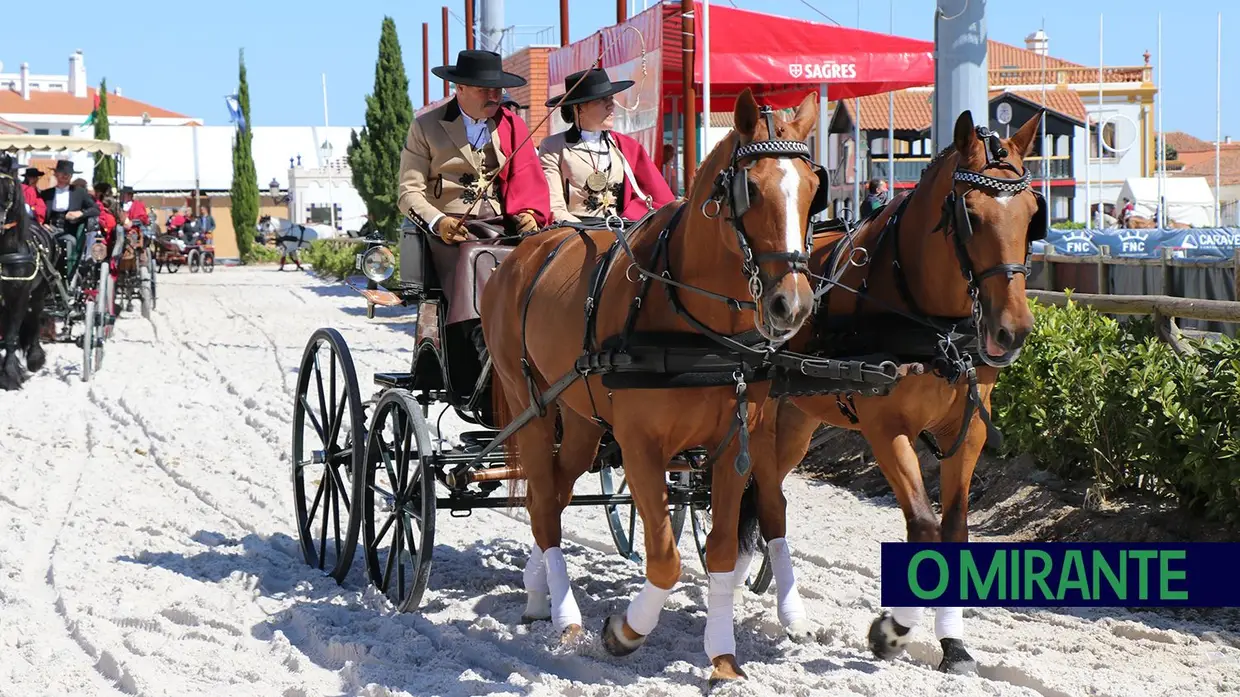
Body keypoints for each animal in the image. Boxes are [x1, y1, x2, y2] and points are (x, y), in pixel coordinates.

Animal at [481, 89, 823, 679]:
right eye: (751, 189)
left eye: (811, 188)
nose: (792, 305)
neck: (693, 324)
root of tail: (522, 253)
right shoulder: (641, 447)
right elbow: (664, 559)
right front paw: (624, 632)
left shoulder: (734, 444)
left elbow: (723, 552)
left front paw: (723, 658)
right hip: (531, 403)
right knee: (544, 499)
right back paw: (565, 613)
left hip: (580, 418)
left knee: (557, 491)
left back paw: (536, 588)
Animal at [739, 109, 1051, 674]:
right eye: (970, 215)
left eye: (1032, 213)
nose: (1011, 332)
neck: (932, 323)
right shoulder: (886, 429)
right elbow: (924, 526)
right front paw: (891, 630)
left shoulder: (967, 430)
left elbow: (954, 529)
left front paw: (954, 645)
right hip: (761, 415)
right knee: (768, 502)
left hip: (798, 420)